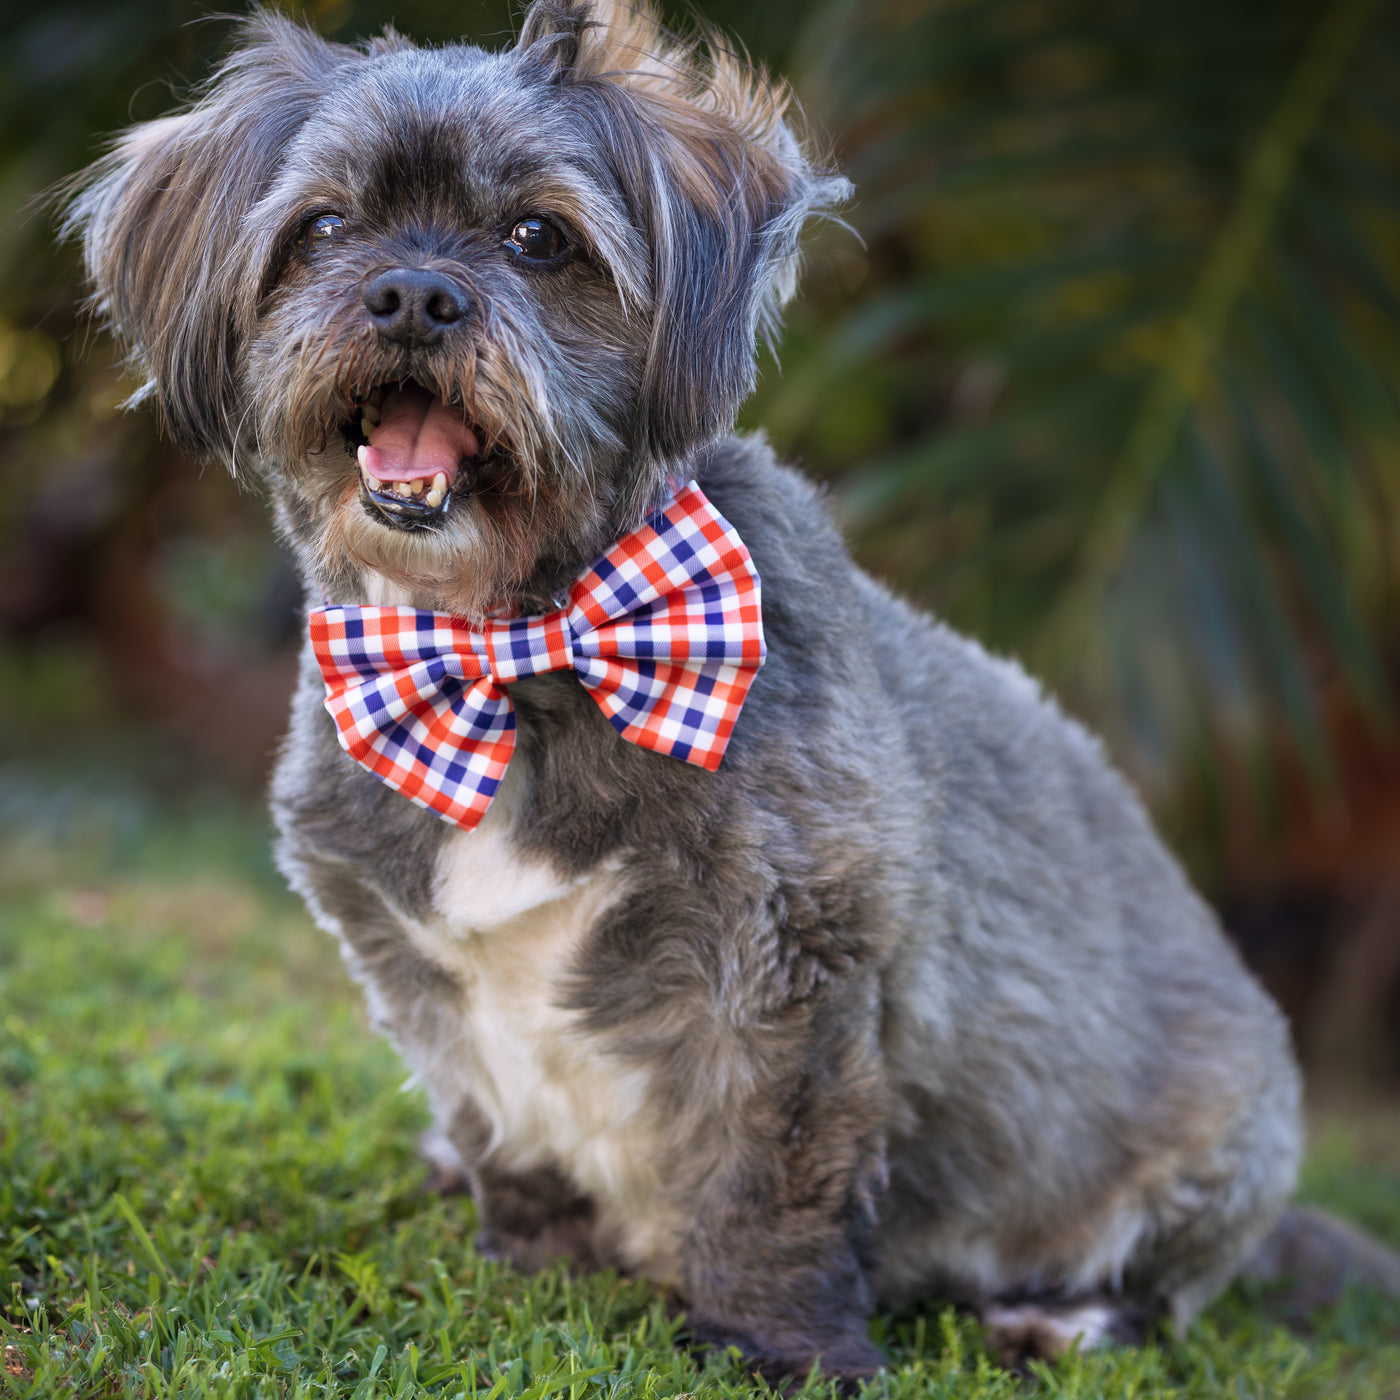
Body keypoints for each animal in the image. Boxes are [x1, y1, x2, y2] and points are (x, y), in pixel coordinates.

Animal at [65, 0, 1310, 1377]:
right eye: (325, 228)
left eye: (538, 236)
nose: (413, 294)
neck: (517, 651)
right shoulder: (422, 976)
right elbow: (504, 1130)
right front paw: (531, 1260)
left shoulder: (787, 962)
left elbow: (771, 1170)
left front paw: (777, 1346)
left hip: (1225, 1140)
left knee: (1161, 1281)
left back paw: (1068, 1310)